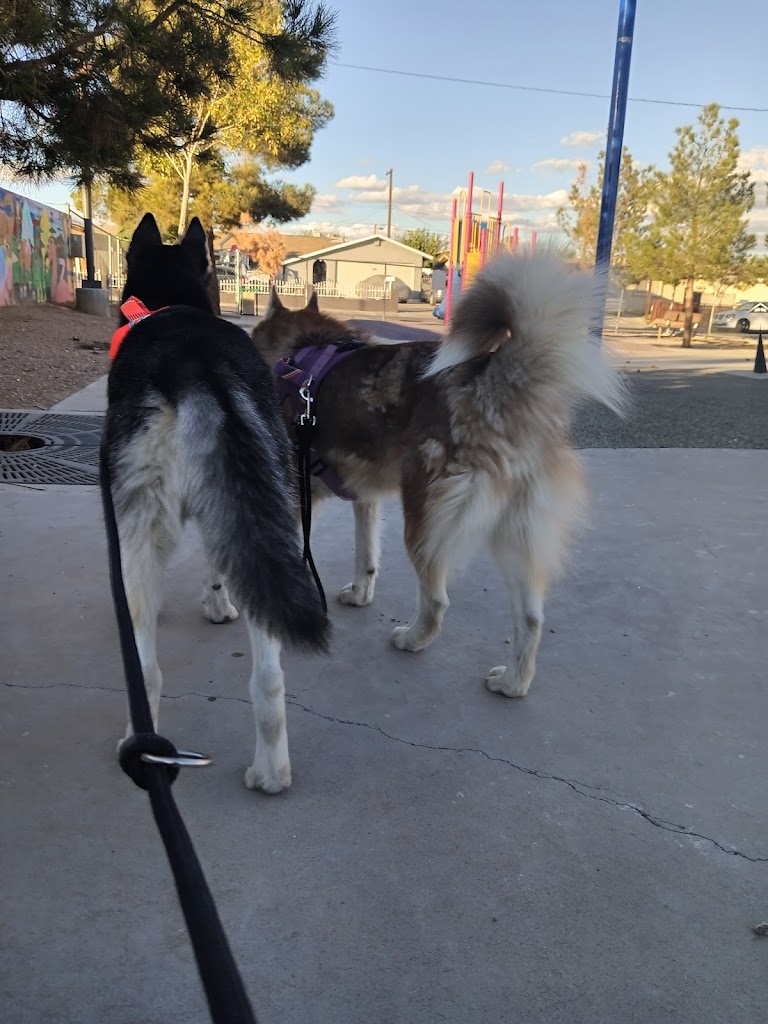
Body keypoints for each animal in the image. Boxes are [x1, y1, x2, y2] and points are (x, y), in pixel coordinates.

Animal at [100, 213, 328, 793]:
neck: (168, 305)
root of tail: (193, 365)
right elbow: (217, 565)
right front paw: (218, 603)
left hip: (138, 523)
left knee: (144, 666)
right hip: (270, 502)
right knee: (268, 676)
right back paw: (271, 772)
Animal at [252, 250, 624, 698]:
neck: (301, 353)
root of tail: (497, 382)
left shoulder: (296, 499)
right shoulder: (365, 498)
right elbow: (366, 556)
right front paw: (360, 593)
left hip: (425, 518)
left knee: (436, 601)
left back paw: (413, 639)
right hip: (516, 534)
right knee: (532, 618)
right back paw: (514, 682)